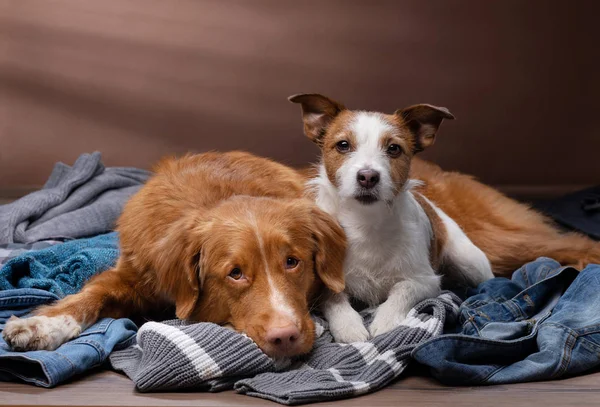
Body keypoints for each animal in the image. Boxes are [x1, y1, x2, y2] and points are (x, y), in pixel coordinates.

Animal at [290, 93, 600, 344]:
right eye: (343, 145)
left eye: (394, 149)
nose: (368, 176)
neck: (365, 223)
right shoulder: (323, 282)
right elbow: (335, 299)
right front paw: (349, 326)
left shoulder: (425, 281)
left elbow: (401, 291)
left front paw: (385, 321)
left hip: (470, 261)